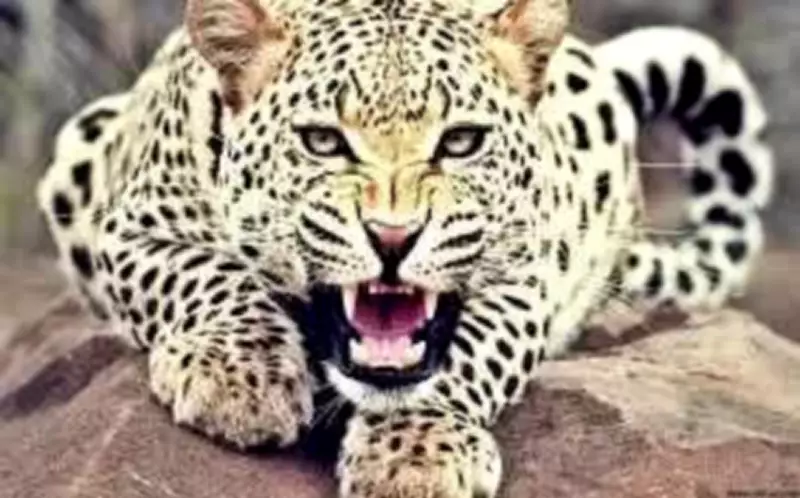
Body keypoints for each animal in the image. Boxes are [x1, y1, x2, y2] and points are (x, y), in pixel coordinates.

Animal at [36, 0, 773, 496]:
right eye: (323, 141)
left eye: (462, 141)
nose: (394, 235)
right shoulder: (131, 226)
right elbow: (208, 275)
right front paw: (239, 378)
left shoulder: (523, 273)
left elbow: (468, 354)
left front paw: (417, 453)